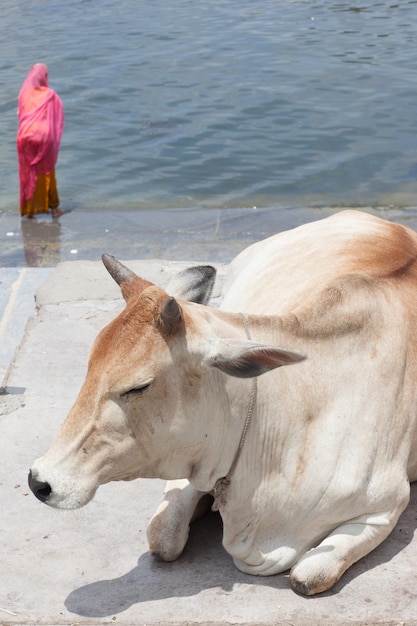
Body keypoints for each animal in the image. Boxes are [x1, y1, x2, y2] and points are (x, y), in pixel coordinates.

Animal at [27, 211, 416, 596]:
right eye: (90, 363)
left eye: (139, 387)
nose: (39, 481)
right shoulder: (193, 465)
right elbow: (162, 538)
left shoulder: (386, 507)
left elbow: (307, 578)